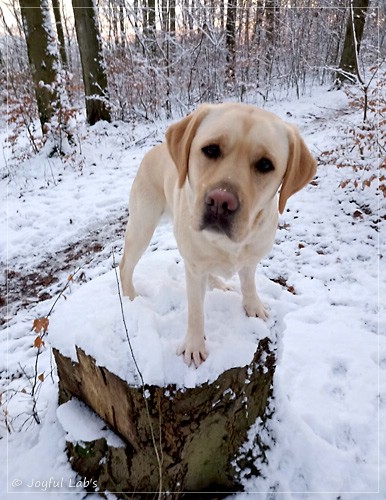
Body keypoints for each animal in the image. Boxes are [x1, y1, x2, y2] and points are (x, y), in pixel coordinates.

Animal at [120, 101, 316, 368]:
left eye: (265, 164)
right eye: (211, 150)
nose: (221, 202)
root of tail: (153, 150)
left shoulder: (250, 259)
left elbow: (249, 284)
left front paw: (253, 307)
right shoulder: (193, 268)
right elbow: (195, 311)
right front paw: (194, 346)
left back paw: (217, 283)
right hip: (143, 225)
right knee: (125, 265)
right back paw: (131, 297)